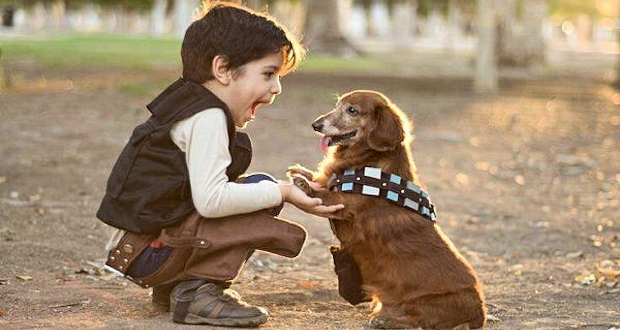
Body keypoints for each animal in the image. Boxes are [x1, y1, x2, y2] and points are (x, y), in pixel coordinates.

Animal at [288, 90, 486, 330]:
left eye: (352, 110)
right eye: (337, 105)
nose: (315, 125)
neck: (368, 162)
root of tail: (479, 314)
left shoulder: (344, 204)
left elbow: (323, 193)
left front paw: (303, 183)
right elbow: (321, 179)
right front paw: (301, 171)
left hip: (424, 302)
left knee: (418, 322)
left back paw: (385, 319)